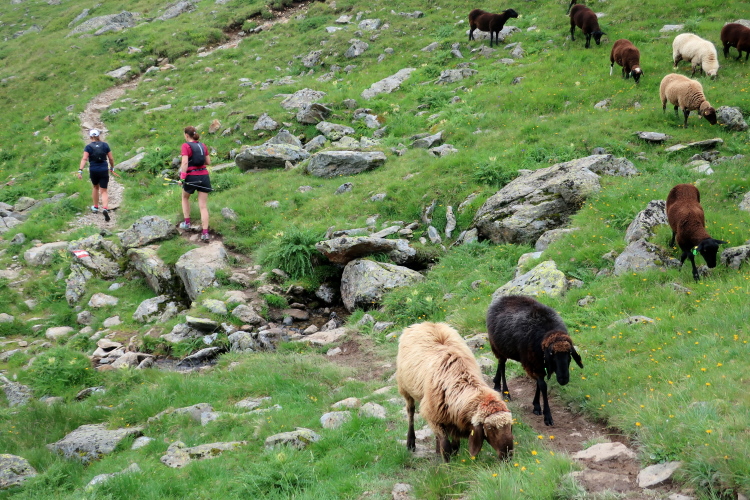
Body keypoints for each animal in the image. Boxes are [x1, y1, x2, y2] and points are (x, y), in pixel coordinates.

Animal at [396, 322, 514, 462]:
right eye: (489, 428)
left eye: (510, 426)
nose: (507, 455)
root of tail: (424, 323)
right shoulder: (434, 416)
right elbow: (446, 446)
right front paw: (448, 464)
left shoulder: (454, 418)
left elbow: (455, 444)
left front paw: (453, 455)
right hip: (405, 388)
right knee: (410, 412)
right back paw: (411, 442)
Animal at [486, 295, 583, 427]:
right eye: (552, 355)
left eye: (569, 356)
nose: (563, 379)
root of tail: (503, 297)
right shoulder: (532, 361)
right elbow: (543, 386)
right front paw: (547, 416)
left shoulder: (538, 362)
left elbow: (538, 384)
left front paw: (536, 405)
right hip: (498, 346)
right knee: (502, 365)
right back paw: (506, 392)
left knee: (501, 364)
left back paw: (496, 384)